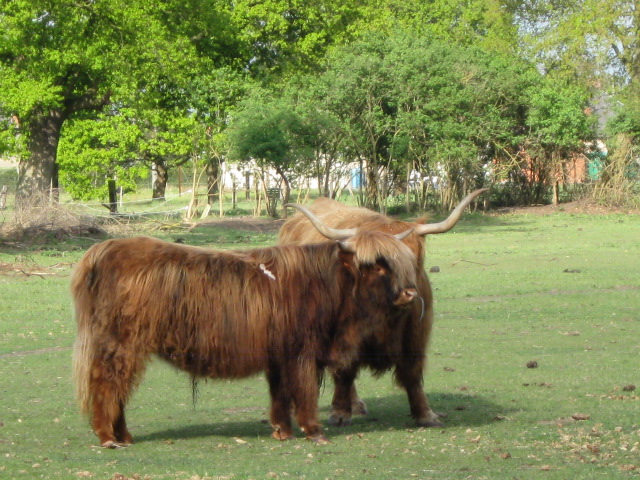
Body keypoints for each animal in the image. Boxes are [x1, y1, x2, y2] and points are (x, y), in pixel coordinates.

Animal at [71, 207, 420, 450]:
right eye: (375, 264)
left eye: (394, 262)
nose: (409, 293)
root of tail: (105, 249)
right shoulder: (302, 353)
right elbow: (304, 391)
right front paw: (314, 431)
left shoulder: (279, 355)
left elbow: (280, 393)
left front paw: (282, 430)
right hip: (119, 345)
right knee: (106, 385)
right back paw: (108, 437)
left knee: (116, 390)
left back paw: (124, 435)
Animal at [278, 189, 488, 426]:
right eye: (377, 265)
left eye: (413, 260)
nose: (408, 294)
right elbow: (344, 371)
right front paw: (339, 413)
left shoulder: (415, 334)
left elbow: (412, 374)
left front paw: (425, 414)